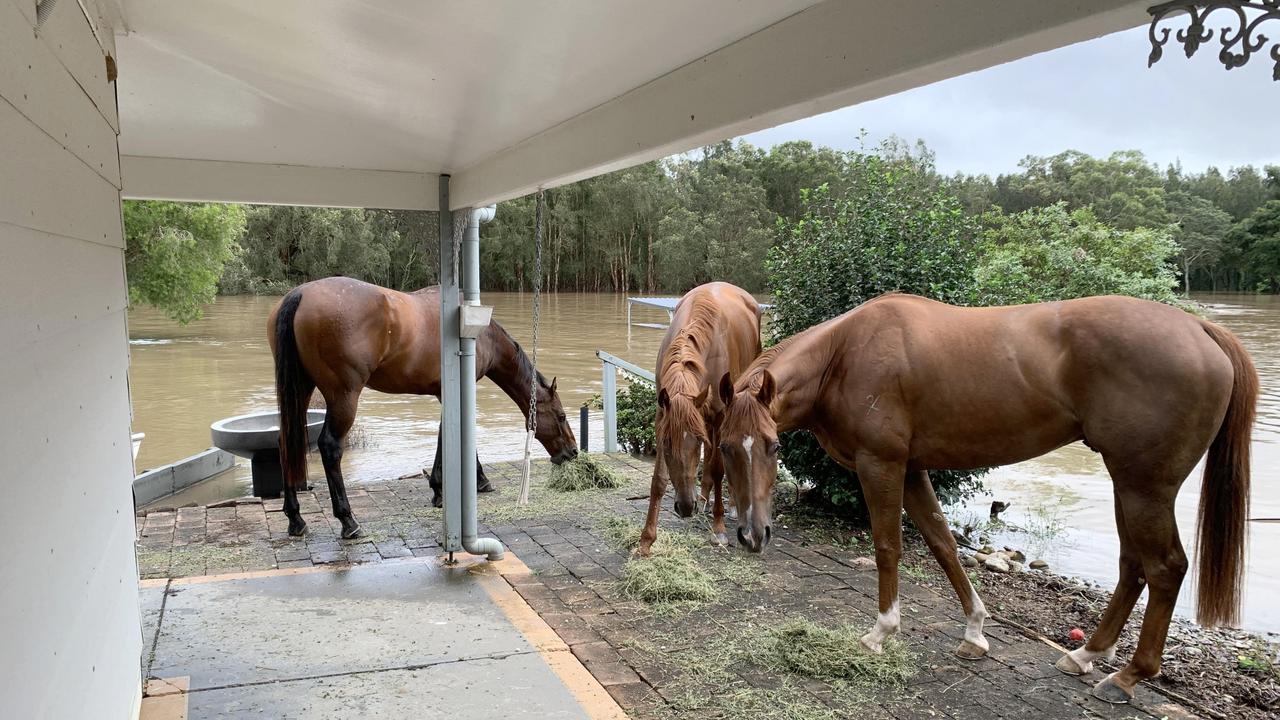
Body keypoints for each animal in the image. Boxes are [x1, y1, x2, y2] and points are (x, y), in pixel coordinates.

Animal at [267, 278, 578, 535]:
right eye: (561, 416)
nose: (573, 452)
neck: (482, 334)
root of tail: (300, 294)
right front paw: (461, 485)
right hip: (343, 396)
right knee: (330, 447)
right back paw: (348, 521)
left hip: (301, 389)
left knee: (286, 443)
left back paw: (296, 519)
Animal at [632, 279, 752, 548]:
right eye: (667, 442)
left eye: (695, 441)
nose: (686, 507)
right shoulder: (663, 415)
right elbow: (659, 479)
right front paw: (647, 539)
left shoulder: (718, 416)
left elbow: (718, 468)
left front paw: (719, 529)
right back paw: (704, 497)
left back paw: (730, 507)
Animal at [716, 289, 1254, 702]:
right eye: (724, 446)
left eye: (774, 446)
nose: (753, 535)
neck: (844, 355)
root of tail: (1200, 328)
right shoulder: (912, 470)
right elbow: (942, 544)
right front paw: (975, 631)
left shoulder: (881, 465)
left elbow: (888, 546)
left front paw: (882, 632)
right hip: (1129, 484)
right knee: (1132, 567)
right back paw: (1087, 655)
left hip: (1145, 487)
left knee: (1165, 569)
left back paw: (1127, 677)